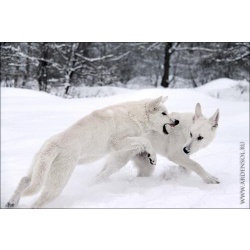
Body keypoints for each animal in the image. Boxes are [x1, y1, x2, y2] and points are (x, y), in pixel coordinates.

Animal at [5, 94, 178, 208]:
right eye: (164, 113)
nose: (176, 121)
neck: (136, 115)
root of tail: (52, 144)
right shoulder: (118, 142)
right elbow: (145, 141)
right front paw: (152, 157)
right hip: (58, 182)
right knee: (39, 201)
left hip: (38, 169)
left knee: (25, 180)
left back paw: (11, 202)